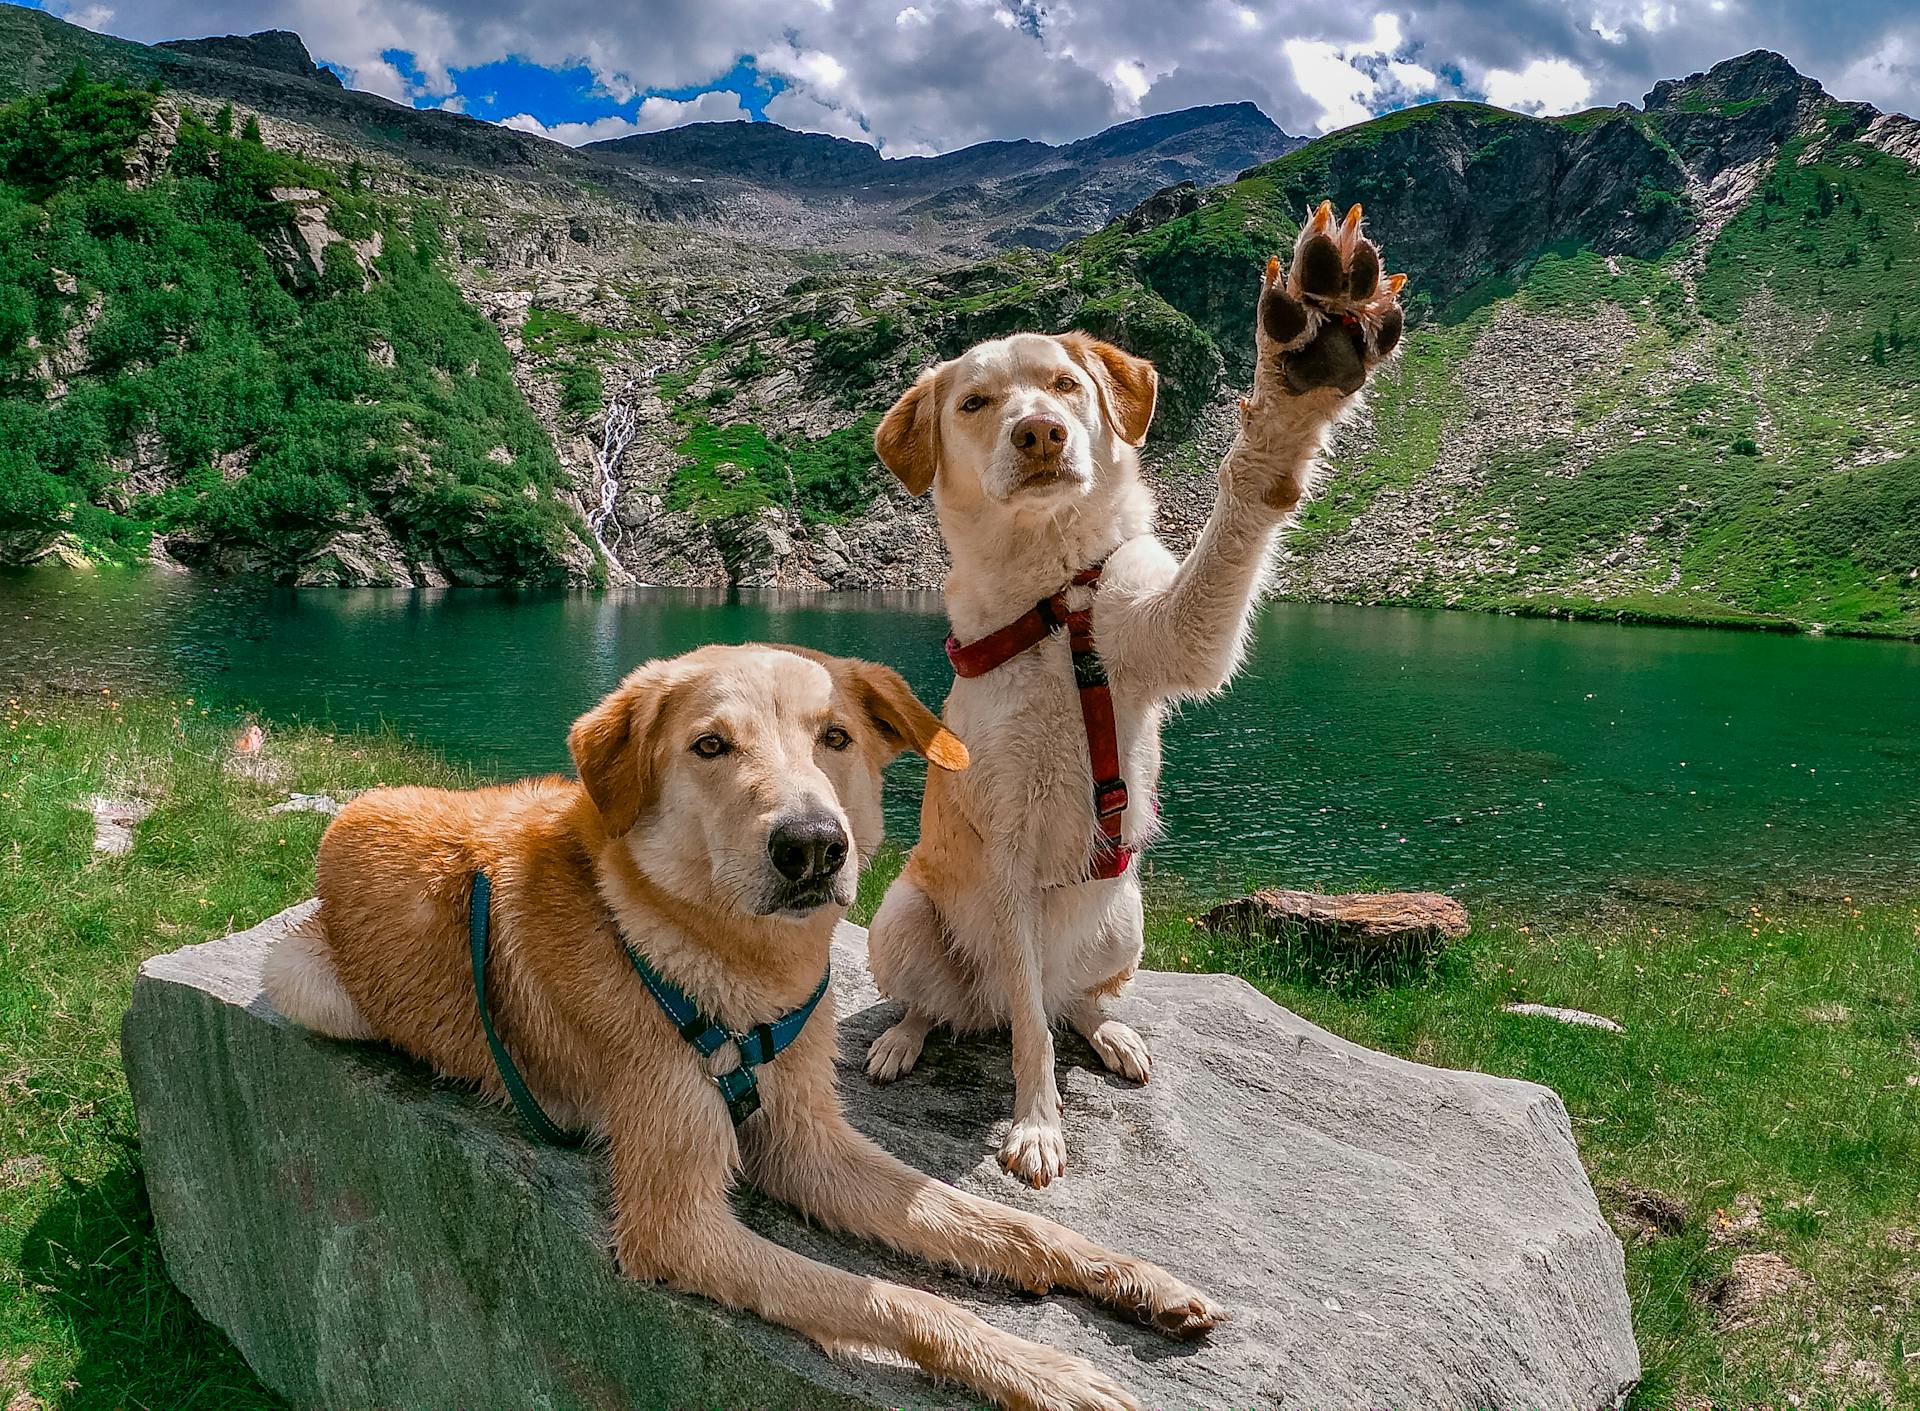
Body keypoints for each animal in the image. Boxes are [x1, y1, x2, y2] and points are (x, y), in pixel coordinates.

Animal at [263, 645, 1221, 1411]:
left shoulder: (809, 1144)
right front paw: (1047, 1372)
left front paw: (1131, 1276)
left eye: (836, 737)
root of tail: (353, 805)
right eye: (710, 745)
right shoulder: (677, 1224)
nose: (813, 845)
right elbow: (898, 1298)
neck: (731, 967)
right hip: (303, 979)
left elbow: (1000, 1225)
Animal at [864, 204, 1405, 1190]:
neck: (1057, 600)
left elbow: (1245, 507)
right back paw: (902, 1041)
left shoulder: (1177, 634)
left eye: (1065, 384)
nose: (1041, 433)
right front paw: (1038, 1126)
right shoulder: (1005, 854)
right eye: (975, 403)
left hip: (1128, 918)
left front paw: (1300, 375)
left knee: (1072, 998)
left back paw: (1113, 1033)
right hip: (903, 914)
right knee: (957, 1004)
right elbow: (1029, 1035)